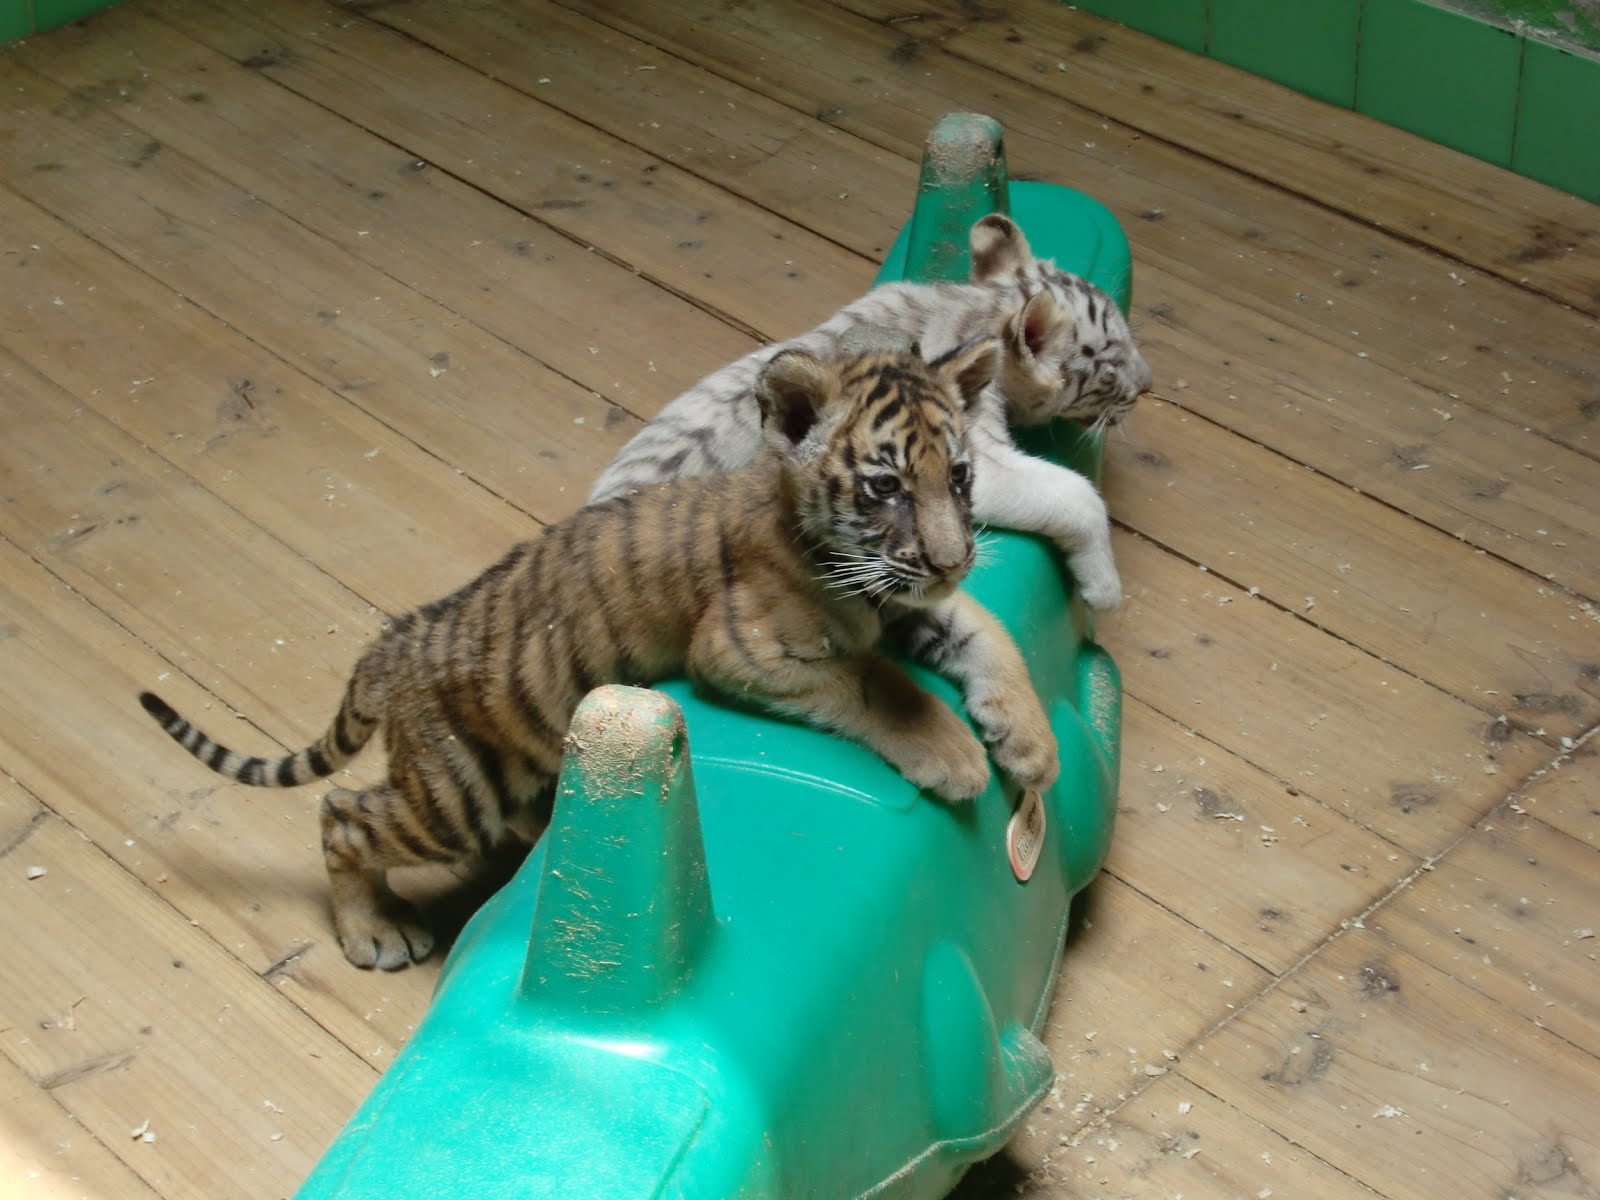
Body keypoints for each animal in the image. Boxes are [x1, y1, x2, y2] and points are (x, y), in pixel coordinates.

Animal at [139, 340, 1059, 970]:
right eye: (885, 487)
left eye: (960, 478)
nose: (953, 559)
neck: (851, 573)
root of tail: (393, 641)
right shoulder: (742, 649)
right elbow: (877, 686)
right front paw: (954, 756)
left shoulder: (904, 601)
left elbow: (987, 636)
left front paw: (1032, 747)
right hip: (454, 793)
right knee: (342, 816)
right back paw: (374, 934)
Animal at [589, 213, 1152, 611]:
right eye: (1111, 363)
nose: (1148, 385)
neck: (974, 309)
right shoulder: (971, 455)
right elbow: (1075, 492)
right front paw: (1104, 589)